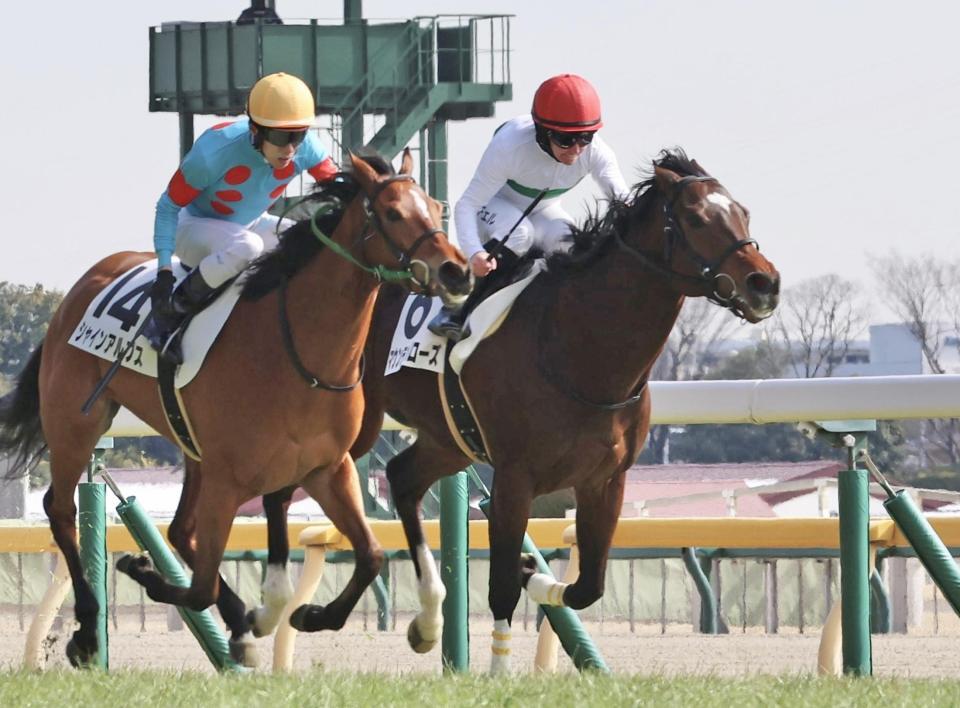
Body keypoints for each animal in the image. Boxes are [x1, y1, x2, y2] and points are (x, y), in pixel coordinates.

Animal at [0, 149, 471, 668]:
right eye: (391, 212)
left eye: (434, 206)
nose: (457, 272)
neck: (297, 349)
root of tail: (84, 284)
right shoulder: (231, 479)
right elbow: (200, 587)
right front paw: (144, 570)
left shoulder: (327, 468)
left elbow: (370, 554)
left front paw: (307, 615)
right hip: (77, 422)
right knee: (62, 509)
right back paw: (87, 629)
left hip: (191, 446)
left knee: (181, 529)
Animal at [254, 149, 780, 672]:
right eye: (695, 218)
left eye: (743, 212)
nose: (765, 283)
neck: (577, 345)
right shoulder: (514, 476)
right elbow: (502, 588)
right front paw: (499, 671)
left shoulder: (605, 479)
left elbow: (586, 587)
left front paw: (537, 575)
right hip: (348, 427)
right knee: (283, 489)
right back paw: (291, 608)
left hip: (449, 440)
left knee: (402, 477)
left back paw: (425, 619)